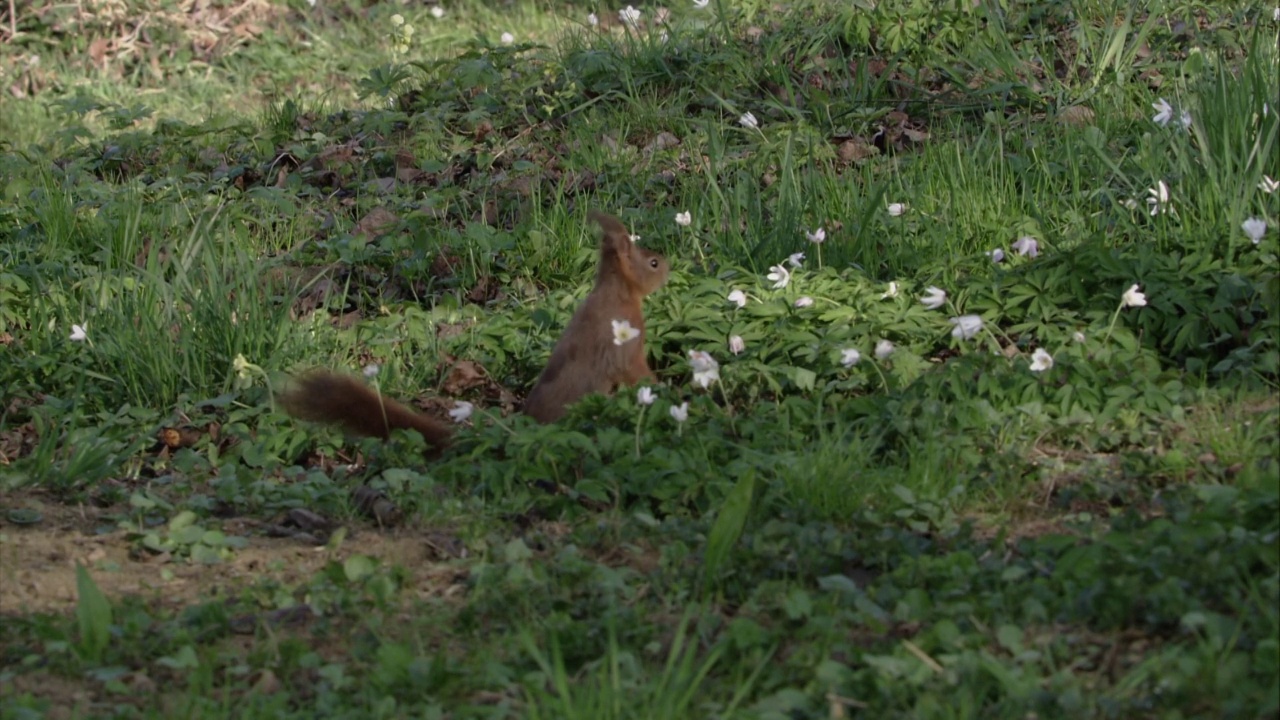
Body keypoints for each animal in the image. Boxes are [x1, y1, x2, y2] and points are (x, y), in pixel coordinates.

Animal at [279, 210, 670, 450]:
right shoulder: (625, 339)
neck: (616, 292)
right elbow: (634, 369)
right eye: (652, 262)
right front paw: (661, 388)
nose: (669, 266)